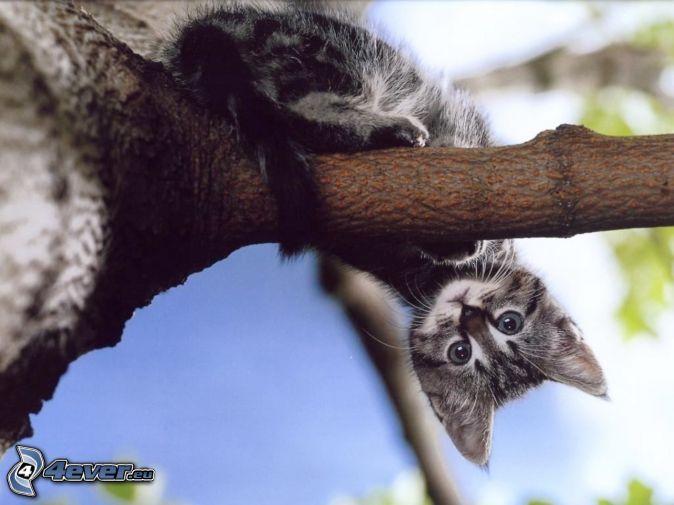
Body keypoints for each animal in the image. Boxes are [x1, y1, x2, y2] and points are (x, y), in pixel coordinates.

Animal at [161, 0, 604, 464]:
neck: (426, 279)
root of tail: (205, 35)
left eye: (461, 351)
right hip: (344, 53)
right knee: (310, 99)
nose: (468, 313)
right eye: (508, 323)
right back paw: (383, 128)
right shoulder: (459, 122)